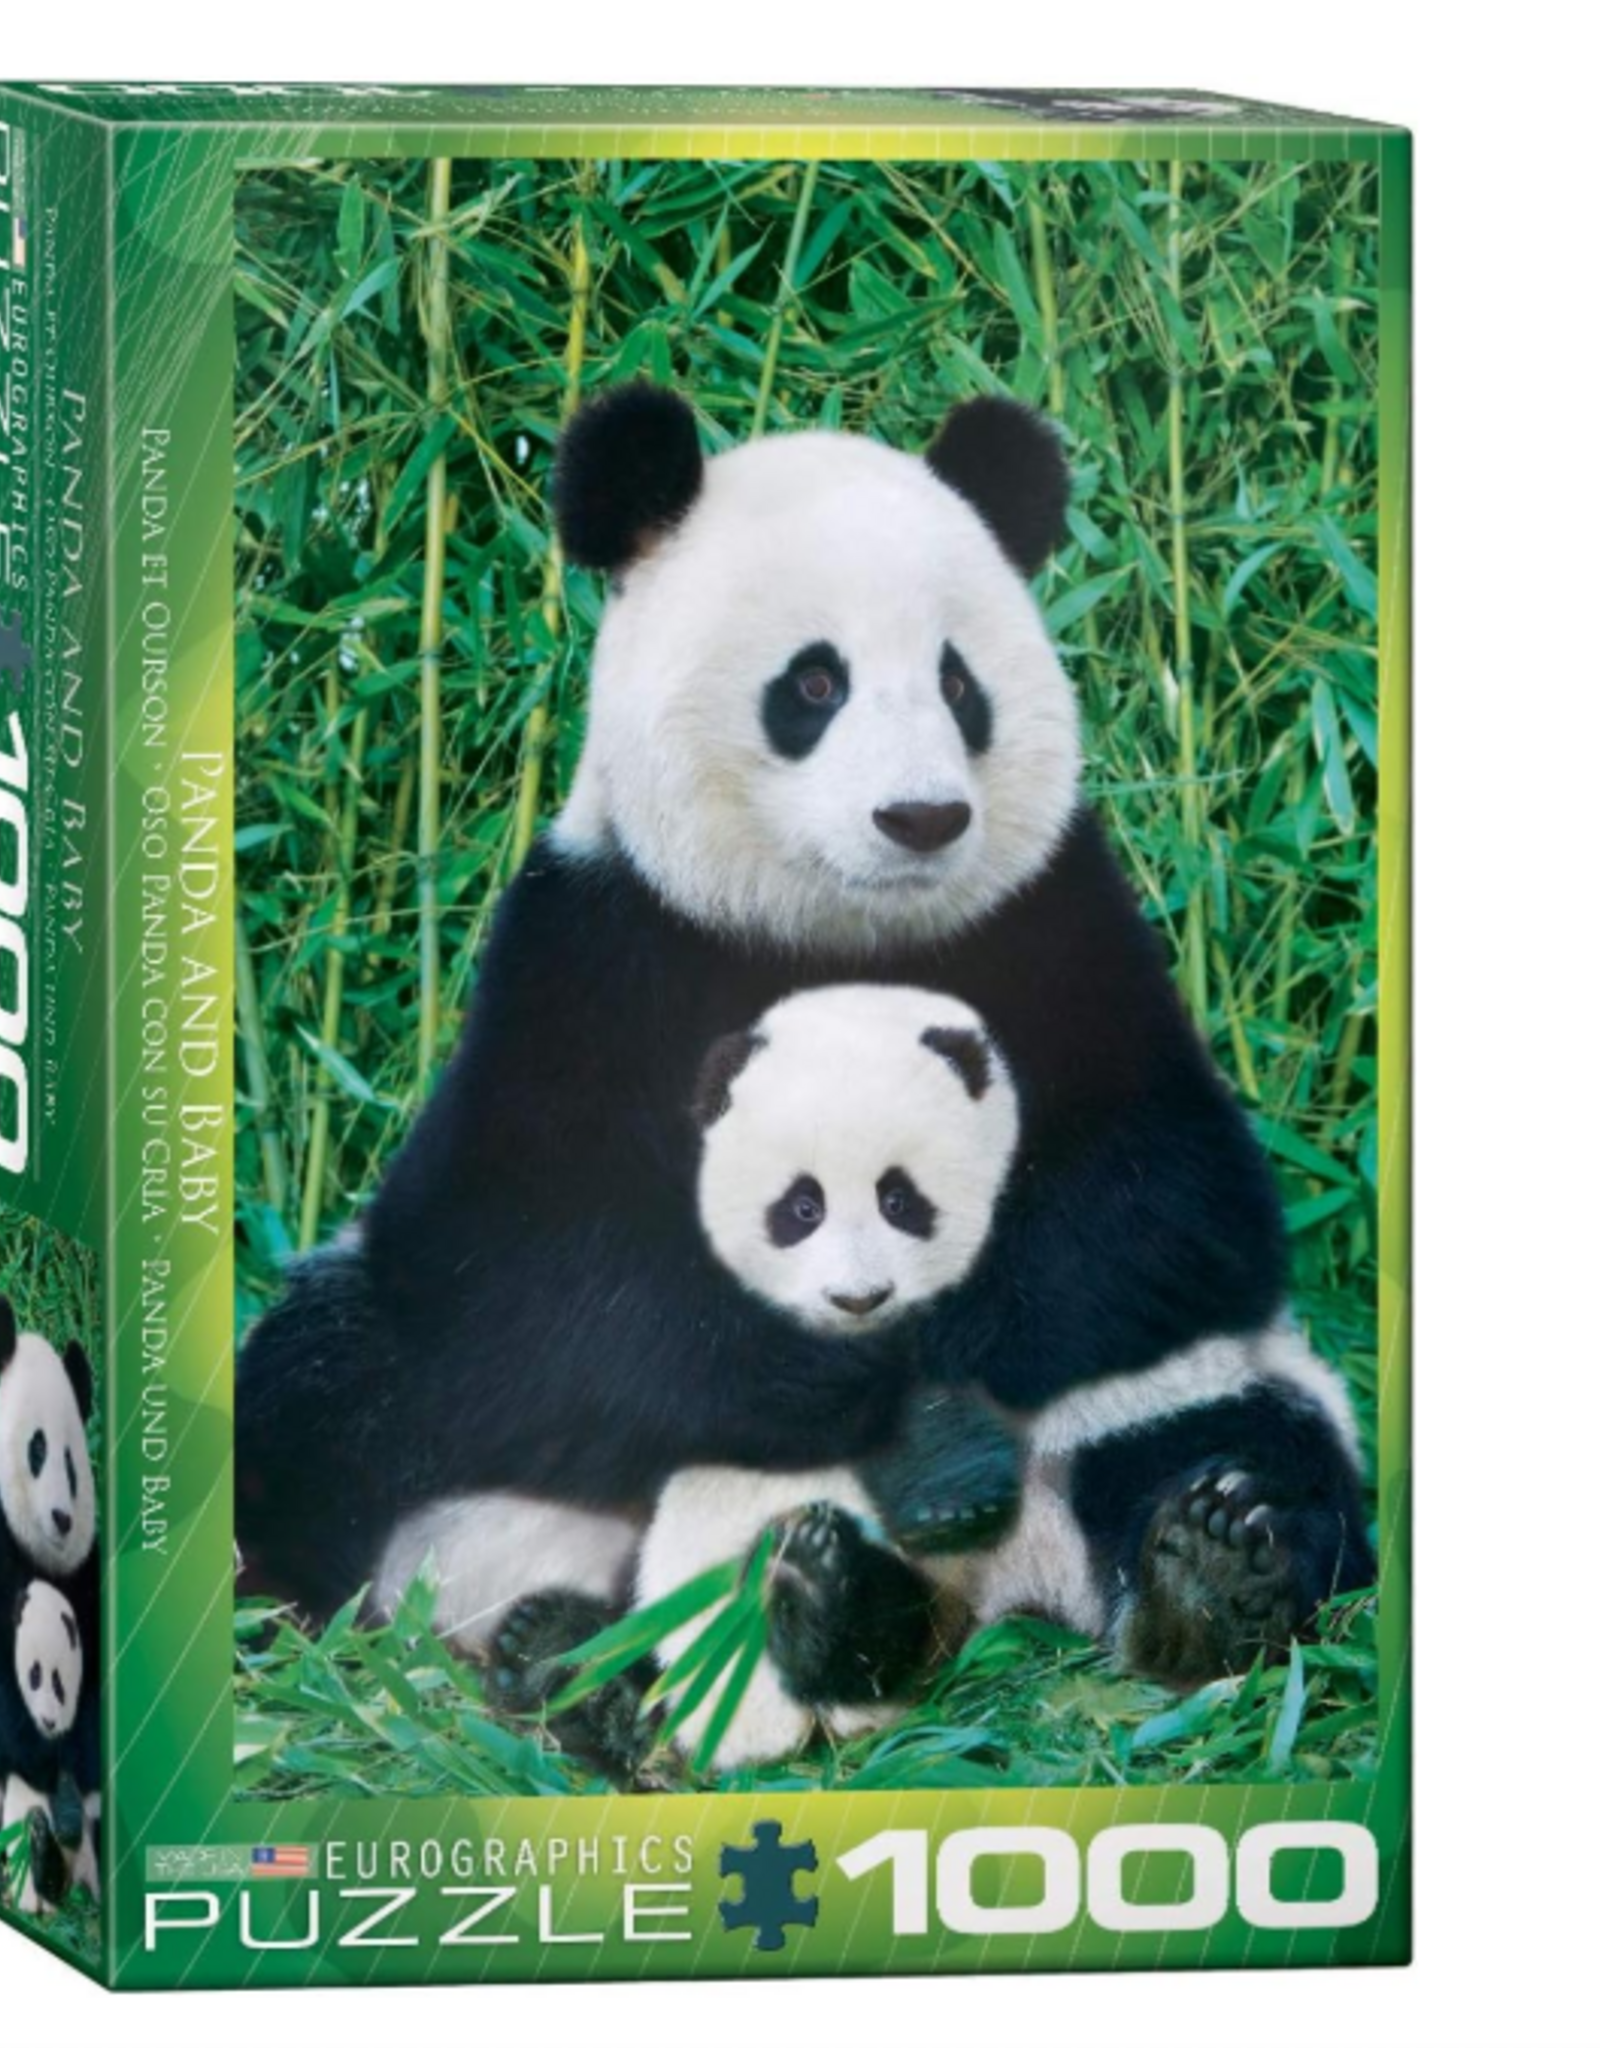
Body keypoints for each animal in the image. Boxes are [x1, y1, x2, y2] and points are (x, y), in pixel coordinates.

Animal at [236, 383, 1367, 1719]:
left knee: (1249, 1438)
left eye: (958, 683)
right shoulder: (593, 952)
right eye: (815, 682)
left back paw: (1199, 1569)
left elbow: (1170, 1203)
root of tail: (989, 1592)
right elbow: (526, 1265)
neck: (836, 929)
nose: (922, 816)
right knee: (319, 1401)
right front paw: (872, 1393)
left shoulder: (1061, 928)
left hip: (1194, 1387)